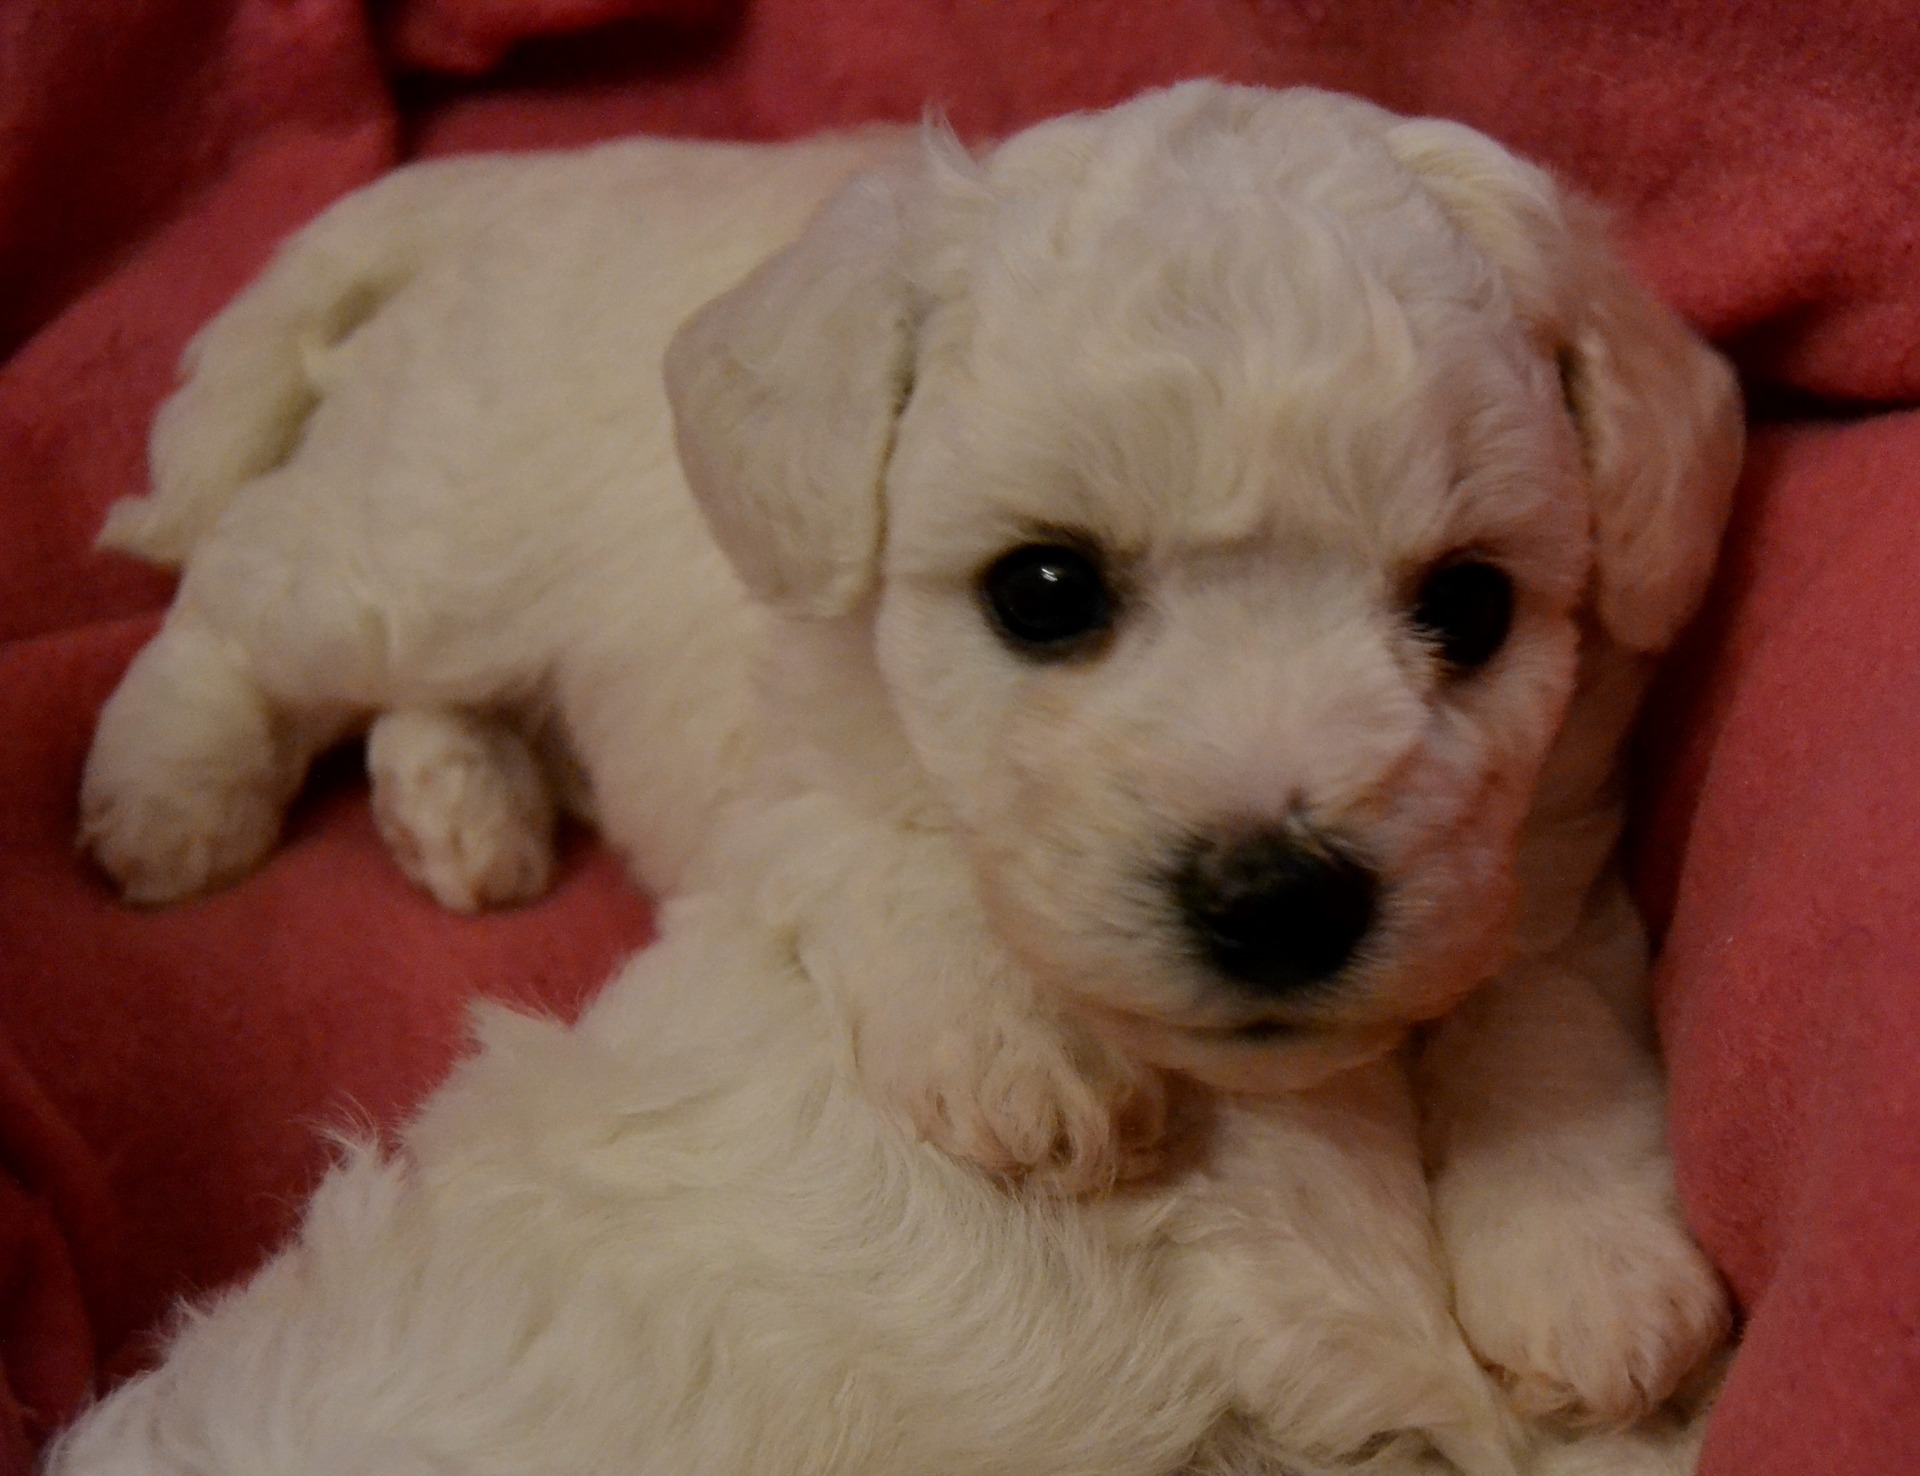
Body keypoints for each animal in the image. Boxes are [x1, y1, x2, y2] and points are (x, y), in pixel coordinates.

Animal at [73, 81, 1741, 1463]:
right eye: (1043, 591)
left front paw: (1585, 1267)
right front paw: (1021, 1053)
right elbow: (882, 840)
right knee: (240, 597)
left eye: (1472, 606)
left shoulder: (1539, 837)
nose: (1276, 902)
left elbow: (1553, 1004)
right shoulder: (769, 765)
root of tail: (499, 190)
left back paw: (463, 807)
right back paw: (168, 795)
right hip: (426, 537)